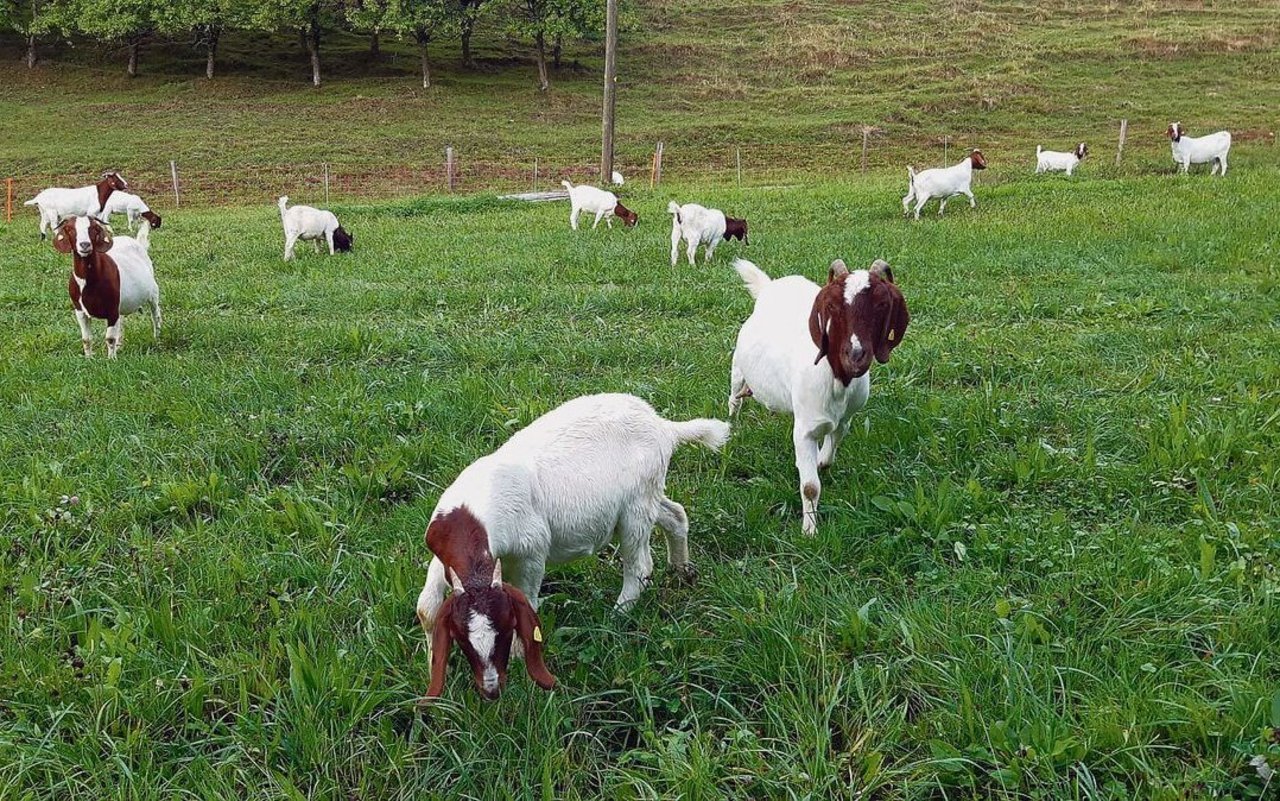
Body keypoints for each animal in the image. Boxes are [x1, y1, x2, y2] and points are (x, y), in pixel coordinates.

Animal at [53, 216, 161, 358]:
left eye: (94, 228)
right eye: (70, 229)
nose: (85, 244)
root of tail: (139, 244)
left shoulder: (112, 309)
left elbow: (110, 338)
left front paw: (111, 359)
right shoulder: (80, 310)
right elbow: (86, 339)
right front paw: (89, 358)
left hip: (153, 292)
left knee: (155, 314)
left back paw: (157, 338)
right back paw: (119, 346)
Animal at [414, 391, 727, 690]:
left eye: (501, 633)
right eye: (462, 640)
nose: (491, 687)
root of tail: (664, 427)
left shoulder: (532, 550)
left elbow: (527, 601)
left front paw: (518, 658)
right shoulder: (444, 558)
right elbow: (427, 607)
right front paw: (433, 665)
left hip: (636, 507)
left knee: (640, 566)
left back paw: (616, 617)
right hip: (647, 497)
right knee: (675, 515)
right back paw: (683, 571)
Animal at [732, 258, 911, 532]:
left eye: (882, 304)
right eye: (832, 305)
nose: (855, 354)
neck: (838, 381)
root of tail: (770, 286)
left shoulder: (845, 419)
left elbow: (827, 457)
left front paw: (817, 462)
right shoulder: (804, 430)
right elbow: (810, 487)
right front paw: (810, 531)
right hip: (737, 368)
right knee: (734, 399)